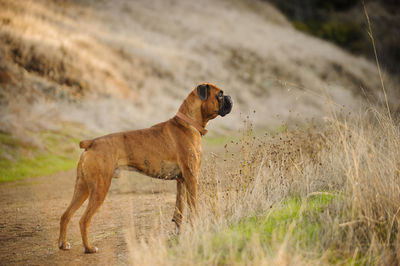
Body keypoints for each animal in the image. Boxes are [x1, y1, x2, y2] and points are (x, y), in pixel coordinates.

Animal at [58, 83, 233, 254]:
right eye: (220, 94)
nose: (230, 97)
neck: (189, 123)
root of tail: (92, 142)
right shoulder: (191, 178)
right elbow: (193, 206)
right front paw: (196, 228)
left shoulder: (181, 180)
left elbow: (179, 209)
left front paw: (178, 232)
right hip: (99, 188)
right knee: (84, 220)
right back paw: (89, 248)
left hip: (82, 187)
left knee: (66, 215)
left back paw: (63, 244)